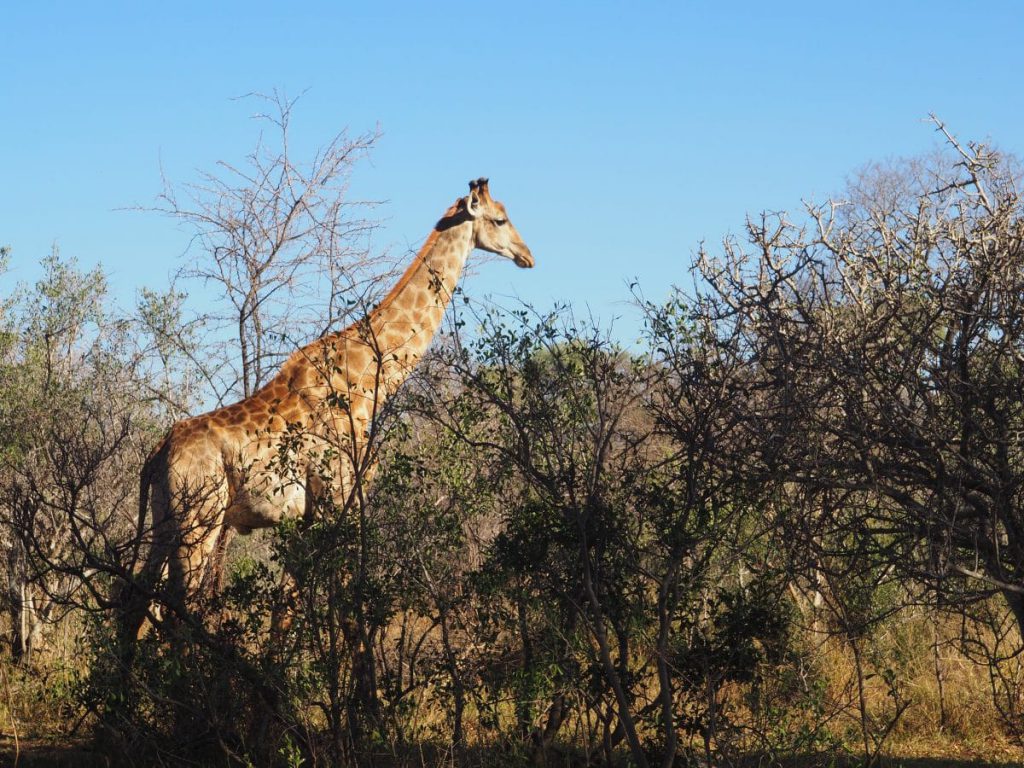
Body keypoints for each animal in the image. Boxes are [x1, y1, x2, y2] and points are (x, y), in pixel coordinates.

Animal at [118, 180, 532, 643]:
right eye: (500, 219)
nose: (527, 255)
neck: (371, 378)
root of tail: (155, 455)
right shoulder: (340, 499)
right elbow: (348, 608)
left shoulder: (307, 515)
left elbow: (285, 608)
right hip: (199, 521)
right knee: (174, 610)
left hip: (165, 522)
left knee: (135, 606)